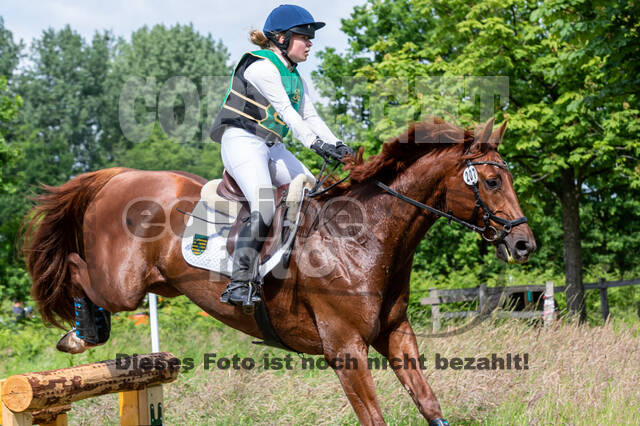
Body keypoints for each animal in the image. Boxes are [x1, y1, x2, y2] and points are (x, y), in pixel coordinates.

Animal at [23, 117, 535, 425]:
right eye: (493, 180)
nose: (524, 243)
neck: (363, 236)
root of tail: (121, 176)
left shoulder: (395, 333)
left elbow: (428, 401)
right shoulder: (345, 348)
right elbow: (374, 416)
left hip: (158, 285)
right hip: (122, 285)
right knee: (75, 269)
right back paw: (81, 333)